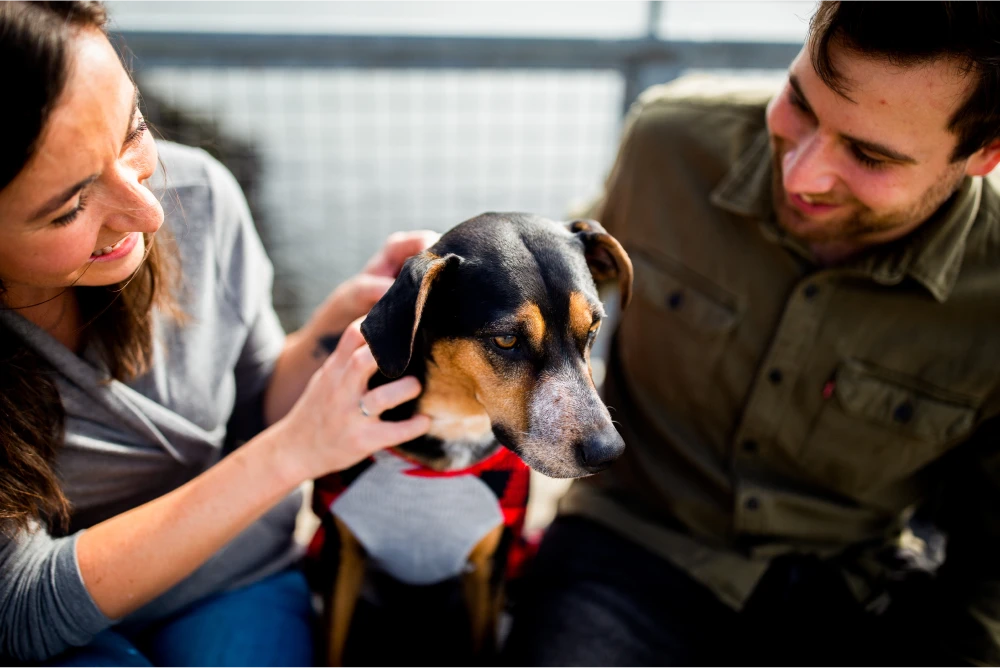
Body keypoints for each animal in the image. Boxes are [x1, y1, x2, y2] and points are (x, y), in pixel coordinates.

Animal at [304, 214, 632, 668]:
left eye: (594, 328)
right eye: (506, 339)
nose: (608, 451)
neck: (457, 426)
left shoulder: (490, 569)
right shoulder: (341, 557)